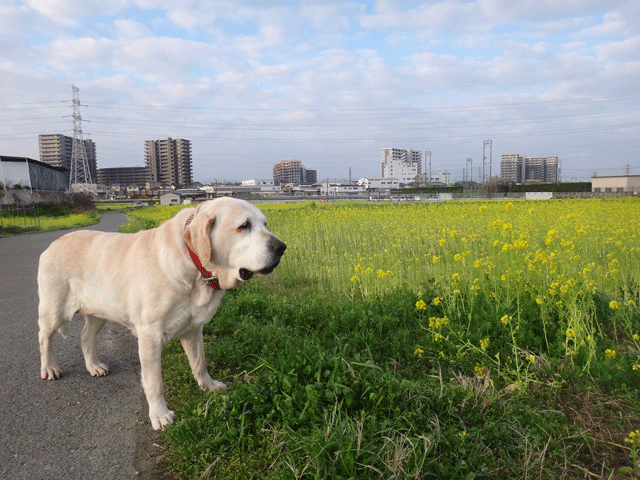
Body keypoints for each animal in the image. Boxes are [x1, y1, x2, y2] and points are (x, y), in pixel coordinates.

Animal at [35, 197, 284, 430]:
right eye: (244, 226)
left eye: (264, 224)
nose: (282, 247)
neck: (194, 265)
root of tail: (52, 244)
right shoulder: (150, 336)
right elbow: (154, 382)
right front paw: (160, 414)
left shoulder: (193, 330)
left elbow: (200, 363)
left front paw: (208, 386)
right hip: (54, 310)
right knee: (44, 337)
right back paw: (49, 368)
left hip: (99, 313)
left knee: (85, 337)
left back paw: (93, 366)